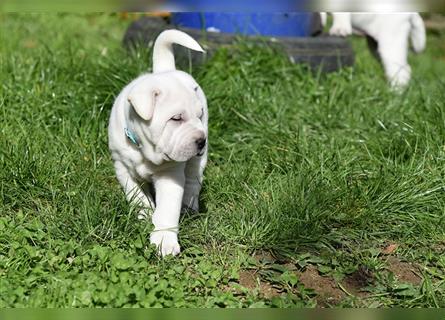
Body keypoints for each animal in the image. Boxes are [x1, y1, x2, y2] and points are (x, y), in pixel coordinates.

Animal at [110, 30, 209, 258]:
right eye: (176, 118)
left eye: (199, 115)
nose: (202, 140)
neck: (144, 151)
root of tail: (165, 69)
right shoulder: (121, 166)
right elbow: (136, 195)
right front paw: (145, 213)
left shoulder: (170, 174)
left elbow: (167, 209)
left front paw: (164, 240)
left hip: (197, 162)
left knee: (193, 179)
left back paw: (189, 205)